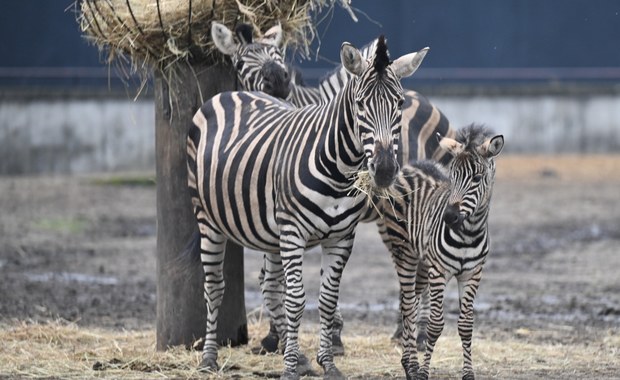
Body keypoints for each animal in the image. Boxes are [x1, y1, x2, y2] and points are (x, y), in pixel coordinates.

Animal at [186, 36, 428, 380]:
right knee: (215, 287)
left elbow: (327, 300)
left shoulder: (342, 238)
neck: (339, 170)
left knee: (269, 283)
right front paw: (289, 367)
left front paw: (326, 363)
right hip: (207, 218)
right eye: (360, 105)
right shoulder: (292, 232)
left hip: (270, 232)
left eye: (399, 104)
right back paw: (209, 358)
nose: (383, 170)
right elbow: (296, 300)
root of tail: (231, 93)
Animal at [378, 125, 504, 380]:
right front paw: (424, 372)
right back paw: (411, 367)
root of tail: (412, 164)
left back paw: (409, 363)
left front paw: (468, 374)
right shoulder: (439, 271)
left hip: (422, 261)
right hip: (404, 251)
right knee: (408, 306)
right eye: (452, 176)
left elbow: (466, 325)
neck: (469, 232)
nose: (449, 217)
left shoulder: (472, 274)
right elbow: (435, 325)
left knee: (414, 301)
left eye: (477, 179)